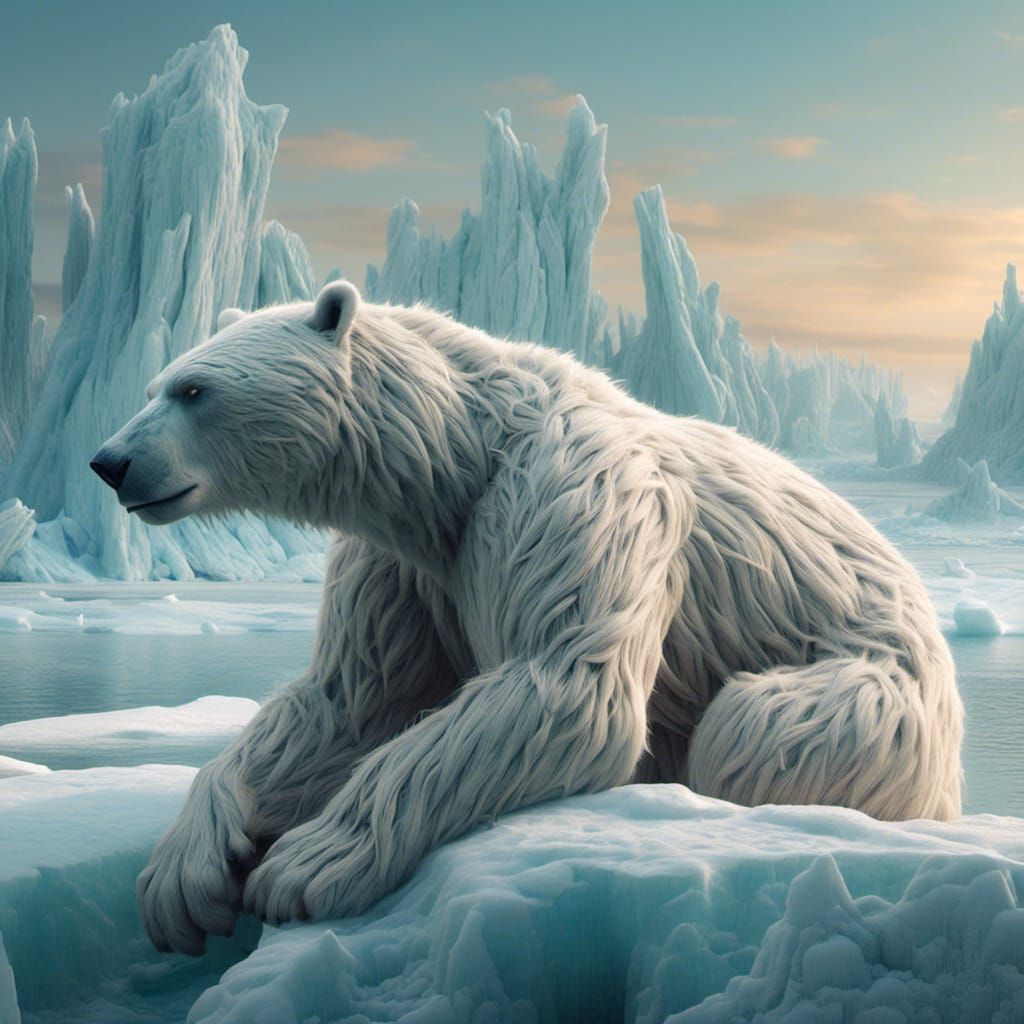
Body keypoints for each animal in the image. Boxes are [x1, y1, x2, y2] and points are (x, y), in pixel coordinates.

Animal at [90, 280, 964, 956]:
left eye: (195, 391)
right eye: (156, 385)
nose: (109, 462)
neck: (457, 449)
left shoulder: (569, 489)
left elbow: (562, 682)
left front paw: (306, 865)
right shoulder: (409, 562)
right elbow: (347, 697)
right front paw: (187, 871)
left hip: (883, 702)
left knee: (754, 728)